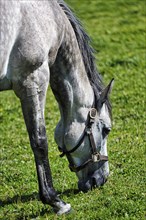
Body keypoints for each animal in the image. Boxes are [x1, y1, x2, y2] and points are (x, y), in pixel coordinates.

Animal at [0, 0, 113, 215]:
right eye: (106, 130)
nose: (102, 179)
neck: (51, 19)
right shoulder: (33, 80)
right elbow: (39, 142)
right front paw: (55, 201)